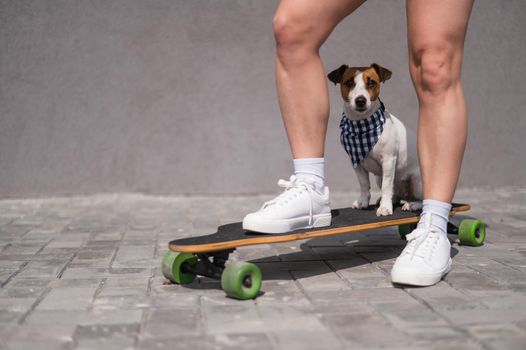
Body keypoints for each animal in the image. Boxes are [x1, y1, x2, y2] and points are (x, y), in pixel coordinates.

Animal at [330, 63, 424, 216]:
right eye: (349, 82)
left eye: (372, 82)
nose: (360, 100)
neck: (362, 126)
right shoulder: (356, 163)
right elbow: (363, 184)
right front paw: (363, 201)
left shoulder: (388, 161)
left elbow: (386, 186)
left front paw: (385, 208)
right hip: (379, 178)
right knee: (395, 193)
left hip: (417, 181)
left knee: (422, 198)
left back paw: (412, 204)